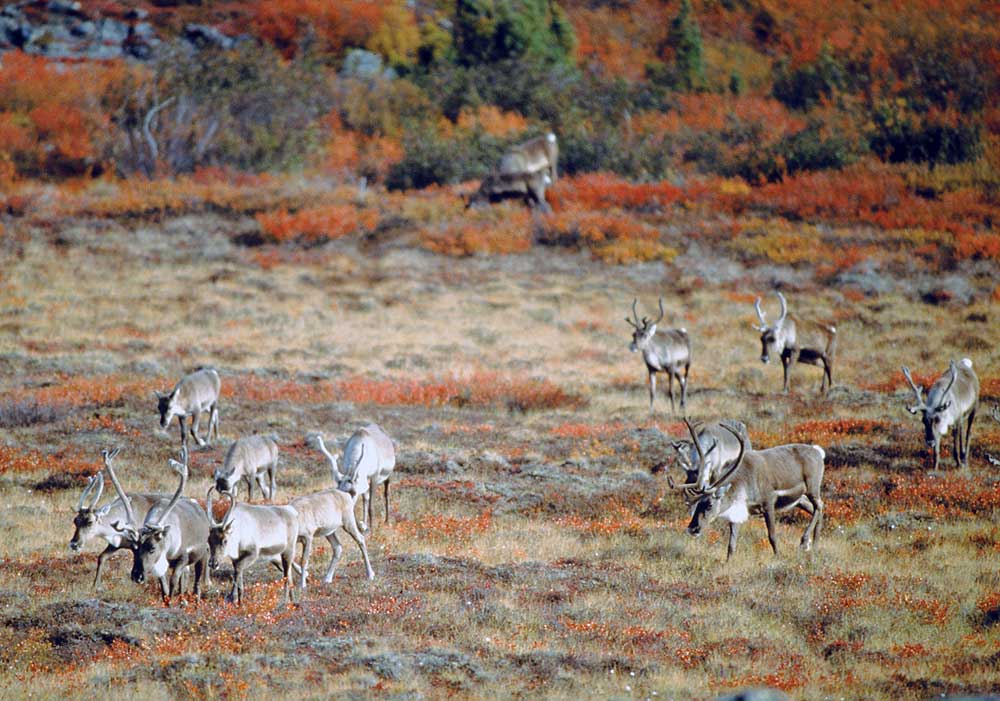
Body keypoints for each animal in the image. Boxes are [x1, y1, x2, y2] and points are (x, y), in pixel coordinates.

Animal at [680, 418, 828, 560]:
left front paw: (778, 557)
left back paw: (805, 542)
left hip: (812, 487)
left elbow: (772, 536)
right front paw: (728, 562)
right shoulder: (739, 510)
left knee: (819, 505)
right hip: (799, 499)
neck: (744, 484)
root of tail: (818, 451)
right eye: (697, 504)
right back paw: (815, 544)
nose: (692, 528)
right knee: (815, 508)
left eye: (709, 505)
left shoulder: (768, 503)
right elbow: (731, 544)